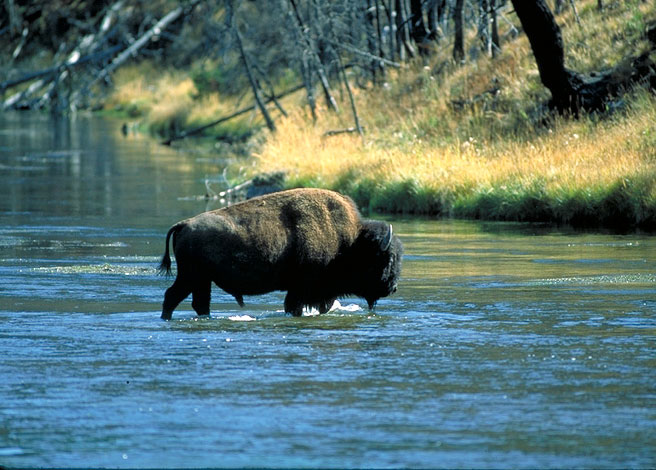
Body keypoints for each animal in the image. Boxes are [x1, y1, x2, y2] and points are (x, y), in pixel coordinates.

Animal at [159, 188, 402, 319]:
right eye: (386, 259)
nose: (393, 287)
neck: (350, 241)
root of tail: (184, 224)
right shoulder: (301, 288)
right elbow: (293, 307)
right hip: (191, 277)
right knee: (172, 297)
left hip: (202, 280)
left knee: (198, 303)